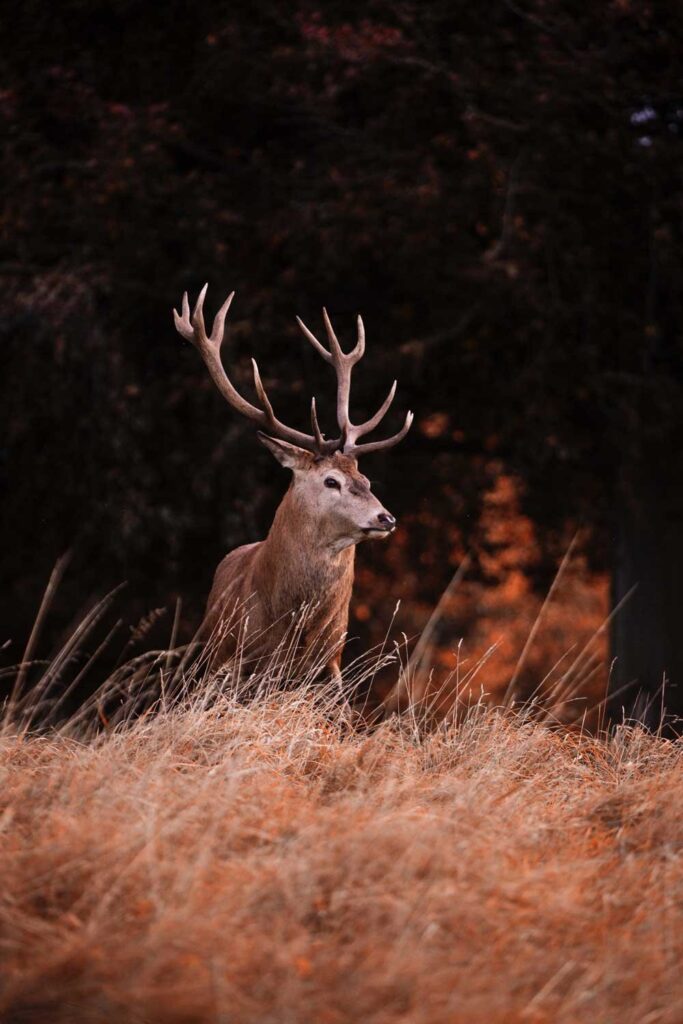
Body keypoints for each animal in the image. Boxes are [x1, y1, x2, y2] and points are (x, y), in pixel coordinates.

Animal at [172, 285, 413, 690]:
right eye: (331, 481)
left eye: (366, 480)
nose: (386, 518)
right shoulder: (241, 660)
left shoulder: (330, 663)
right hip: (207, 654)